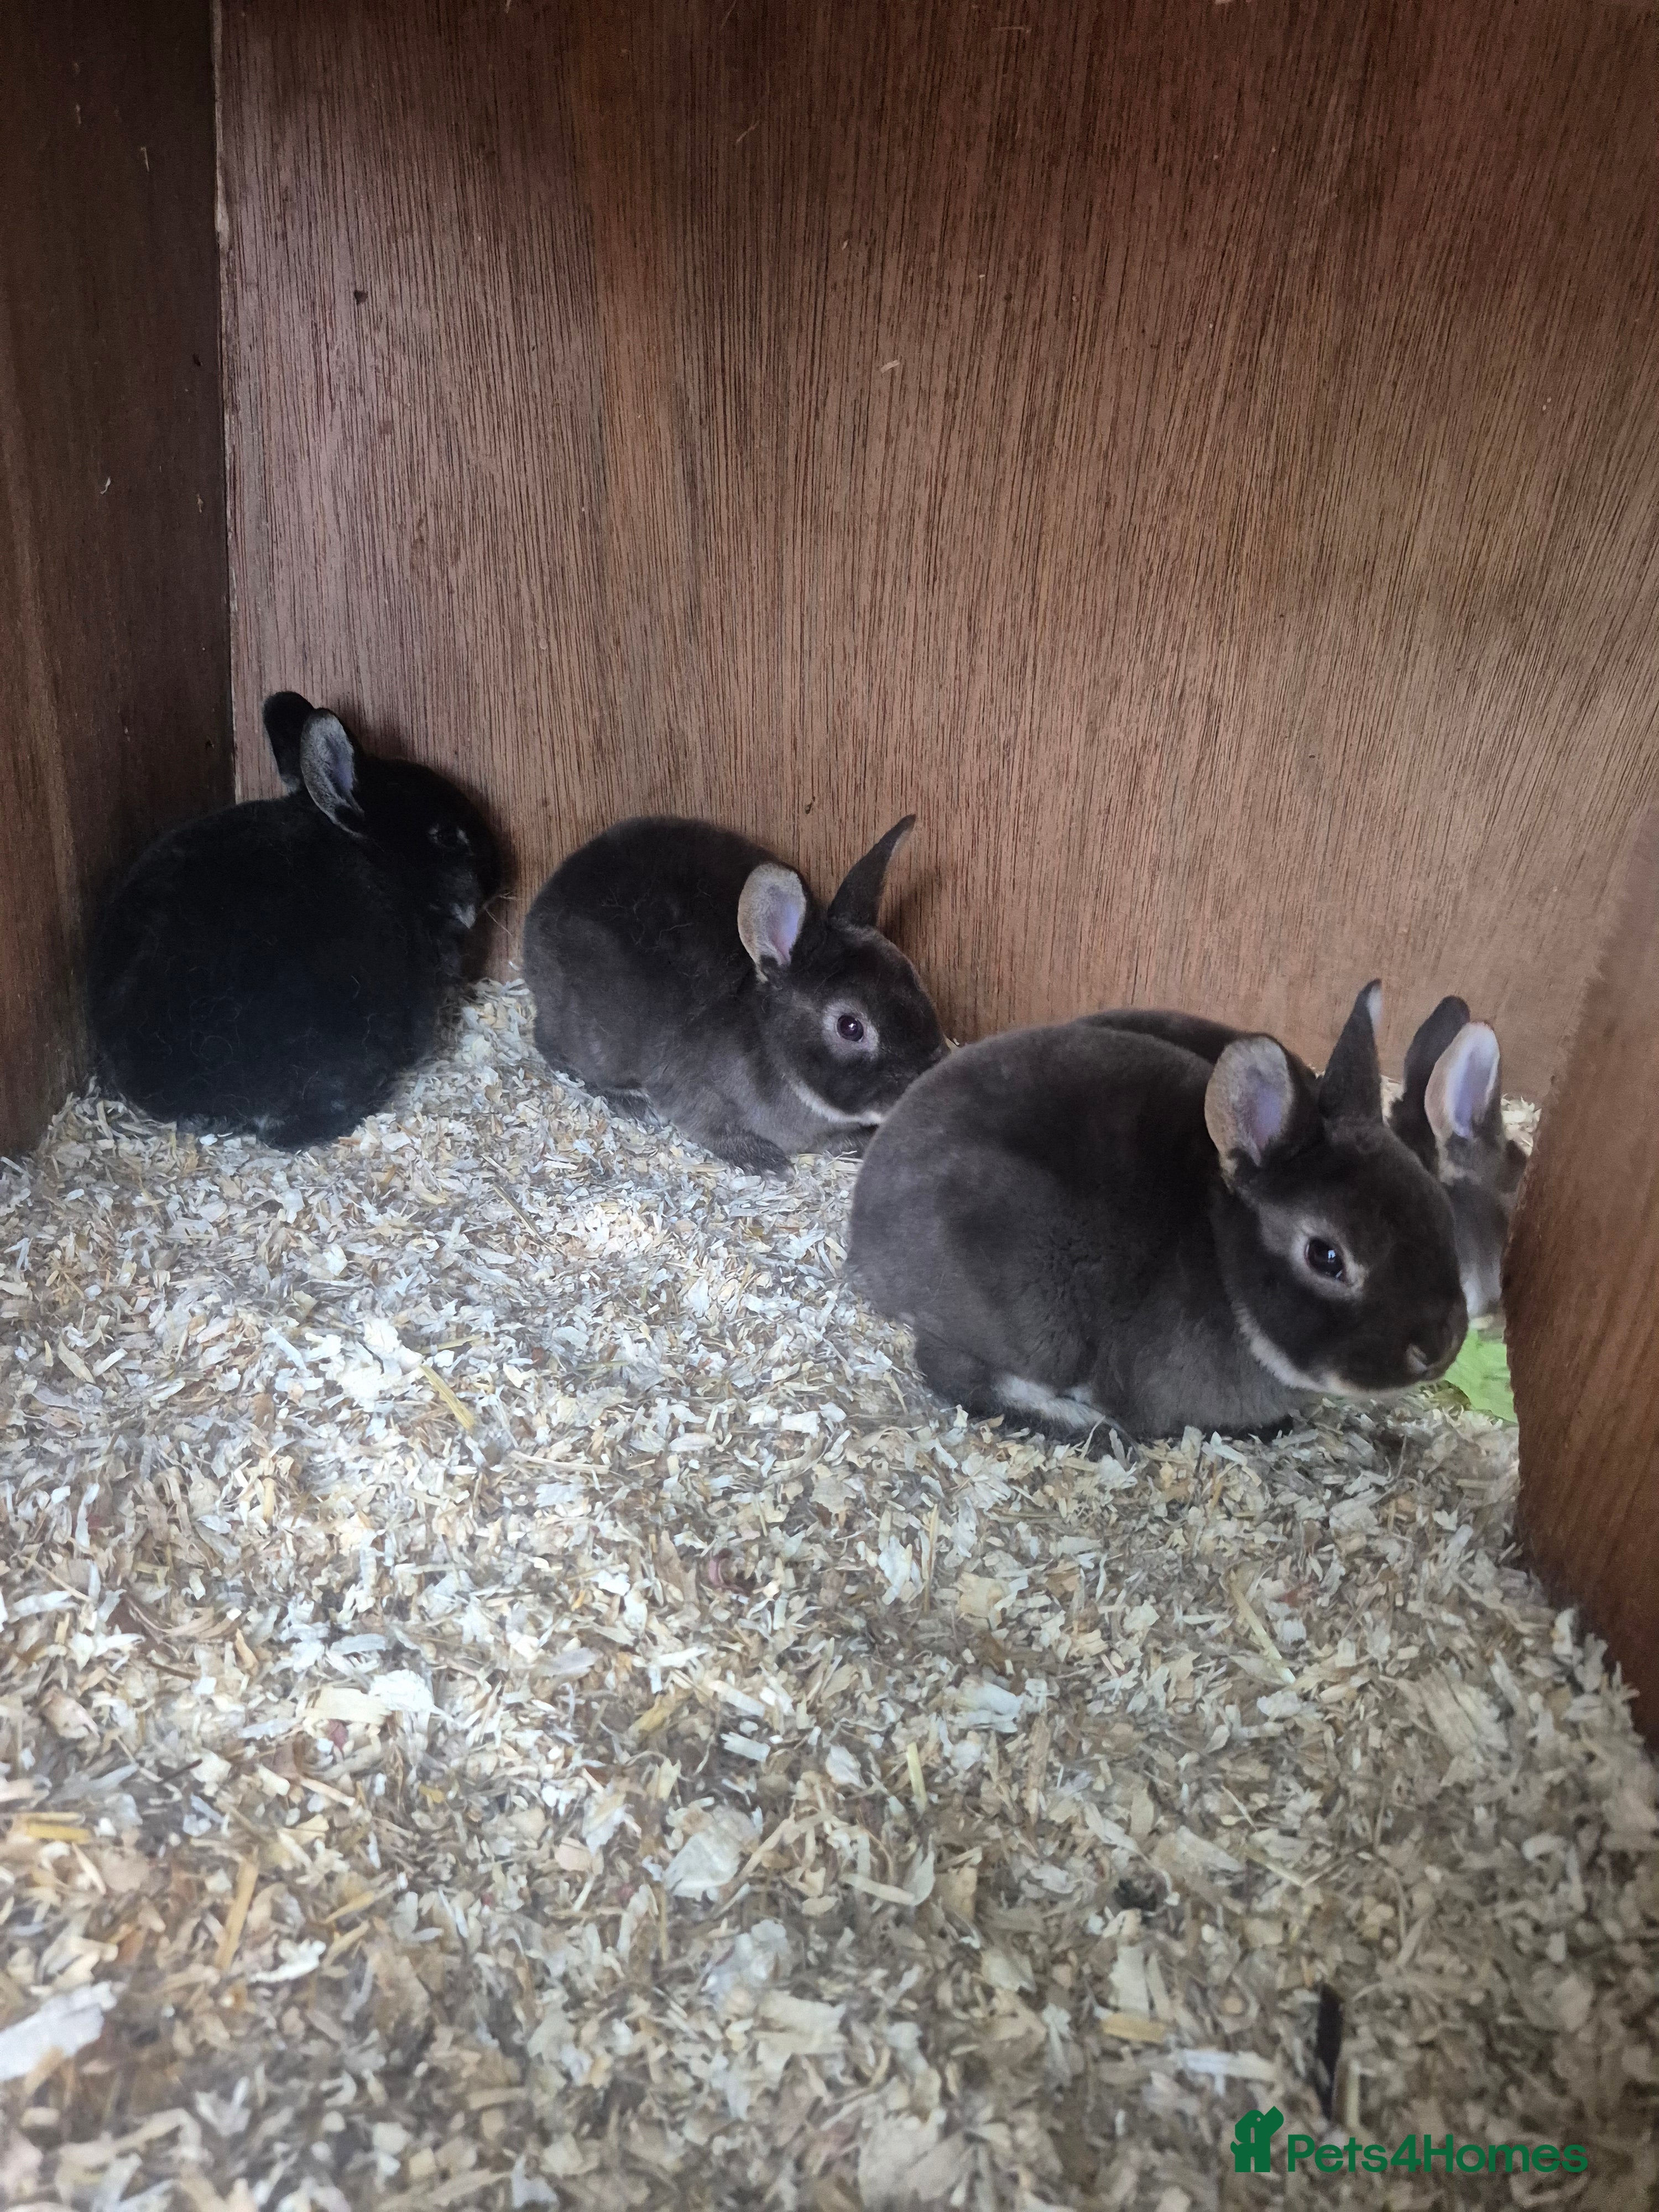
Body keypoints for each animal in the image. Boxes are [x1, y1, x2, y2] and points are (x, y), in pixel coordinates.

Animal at [522, 814, 947, 1174]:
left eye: (914, 978)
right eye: (850, 1027)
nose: (926, 1079)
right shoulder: (695, 1100)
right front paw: (766, 1162)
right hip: (591, 1038)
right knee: (550, 1045)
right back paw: (628, 1100)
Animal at [848, 982, 1467, 1442]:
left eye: (1440, 1206)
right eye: (1327, 1256)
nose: (1438, 1350)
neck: (1224, 1268)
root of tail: (862, 1238)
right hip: (1040, 1312)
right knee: (954, 1369)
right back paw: (1088, 1423)